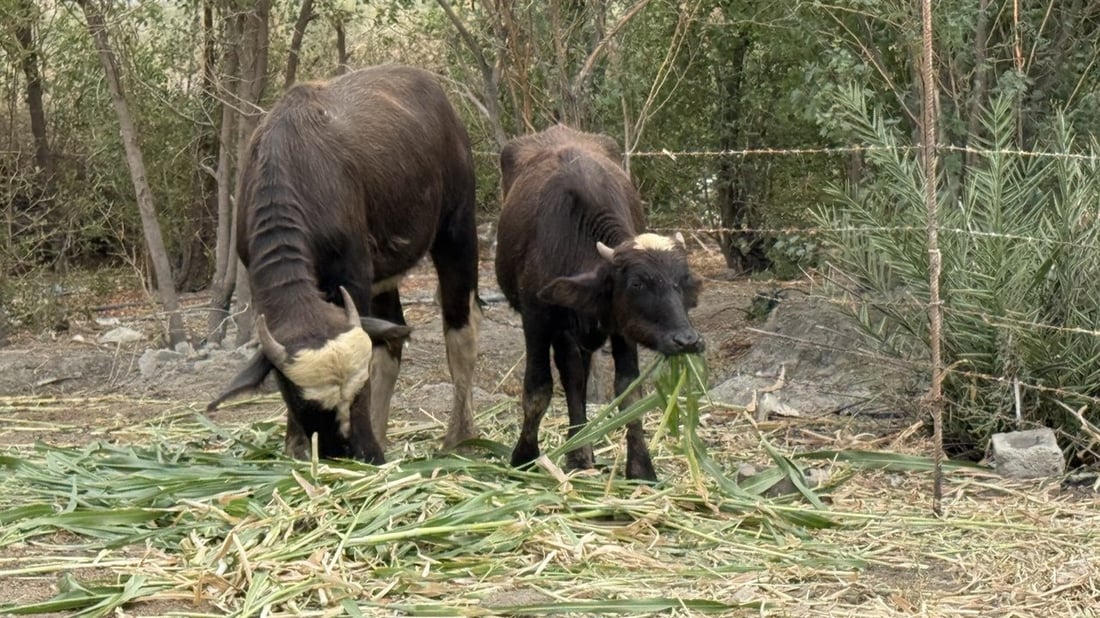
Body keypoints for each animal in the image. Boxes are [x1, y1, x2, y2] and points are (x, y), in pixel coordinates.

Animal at [207, 64, 479, 459]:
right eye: (303, 403)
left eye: (360, 390)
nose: (357, 452)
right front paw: (295, 445)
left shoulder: (354, 277)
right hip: (387, 275)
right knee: (393, 338)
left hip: (456, 233)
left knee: (461, 331)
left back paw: (460, 438)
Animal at [492, 123, 699, 481]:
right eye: (637, 283)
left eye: (682, 282)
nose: (686, 340)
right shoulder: (537, 316)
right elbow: (538, 388)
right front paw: (523, 457)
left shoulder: (620, 326)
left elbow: (629, 391)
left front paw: (641, 468)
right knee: (571, 377)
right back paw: (577, 452)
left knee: (578, 376)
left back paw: (581, 451)